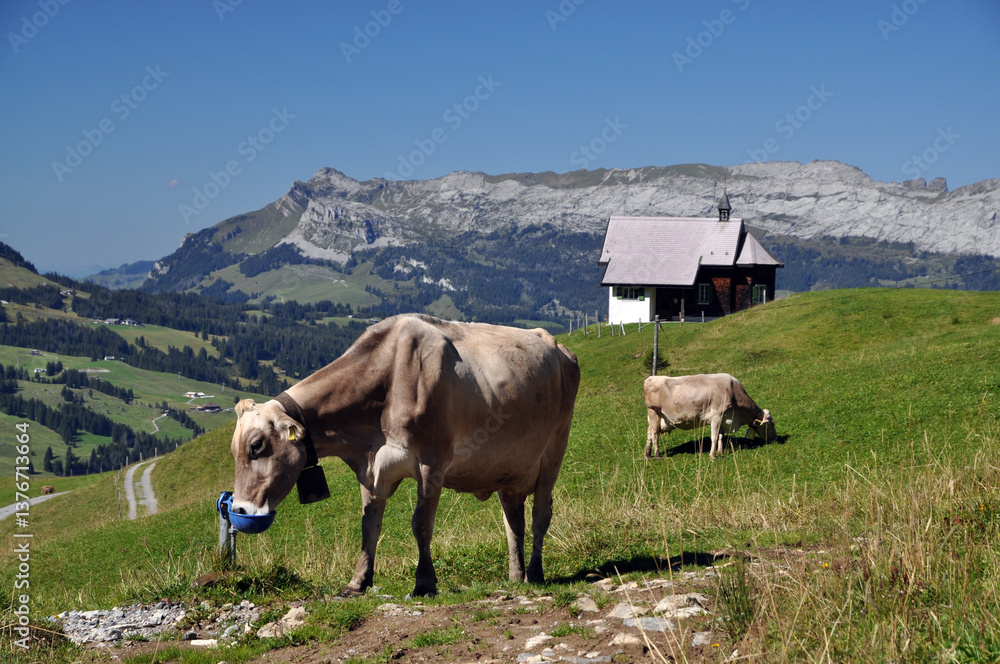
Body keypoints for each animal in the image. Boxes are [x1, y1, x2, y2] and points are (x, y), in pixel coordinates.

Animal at [230, 313, 580, 597]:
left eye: (256, 445)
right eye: (234, 451)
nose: (240, 509)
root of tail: (558, 345)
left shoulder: (432, 463)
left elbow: (420, 524)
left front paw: (424, 583)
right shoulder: (371, 470)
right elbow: (369, 527)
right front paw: (358, 582)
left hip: (555, 448)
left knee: (541, 514)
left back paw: (535, 573)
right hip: (508, 469)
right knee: (513, 522)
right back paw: (515, 576)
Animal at [643, 373, 776, 459]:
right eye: (772, 423)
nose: (775, 439)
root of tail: (650, 378)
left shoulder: (724, 419)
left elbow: (721, 436)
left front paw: (720, 451)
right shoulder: (716, 416)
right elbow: (715, 437)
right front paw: (713, 456)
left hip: (657, 418)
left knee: (649, 432)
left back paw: (647, 454)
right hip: (654, 411)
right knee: (655, 434)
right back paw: (657, 455)